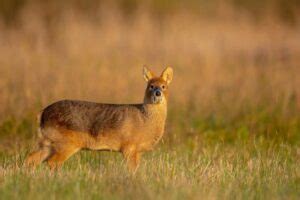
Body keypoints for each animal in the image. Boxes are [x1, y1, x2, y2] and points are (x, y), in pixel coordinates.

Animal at [25, 66, 173, 171]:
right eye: (151, 86)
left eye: (164, 86)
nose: (157, 93)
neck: (145, 120)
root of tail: (42, 114)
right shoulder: (128, 146)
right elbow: (131, 170)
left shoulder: (137, 151)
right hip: (66, 143)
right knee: (52, 162)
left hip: (49, 142)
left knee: (31, 159)